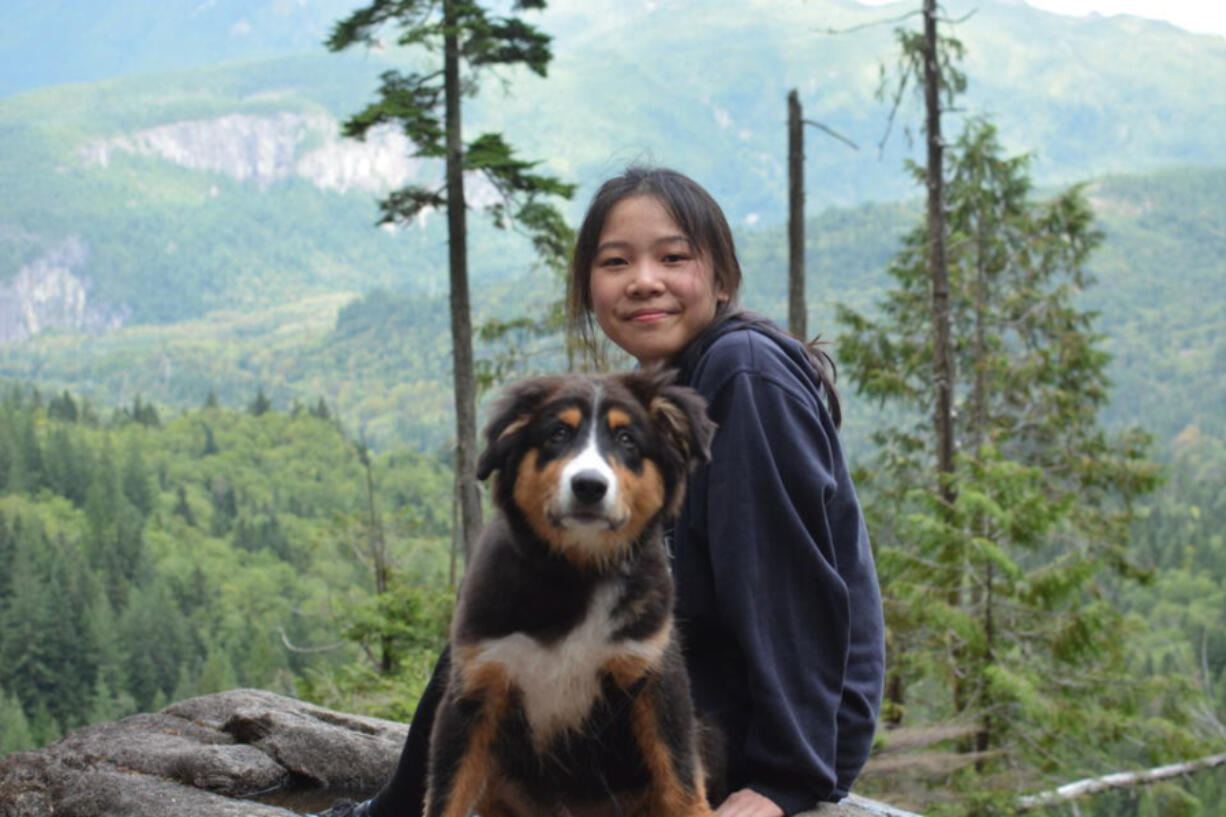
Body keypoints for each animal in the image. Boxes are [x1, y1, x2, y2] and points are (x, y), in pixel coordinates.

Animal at [426, 368, 720, 814]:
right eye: (558, 434)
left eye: (627, 439)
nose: (589, 486)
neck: (576, 573)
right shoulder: (475, 686)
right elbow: (447, 793)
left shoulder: (654, 673)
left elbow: (680, 778)